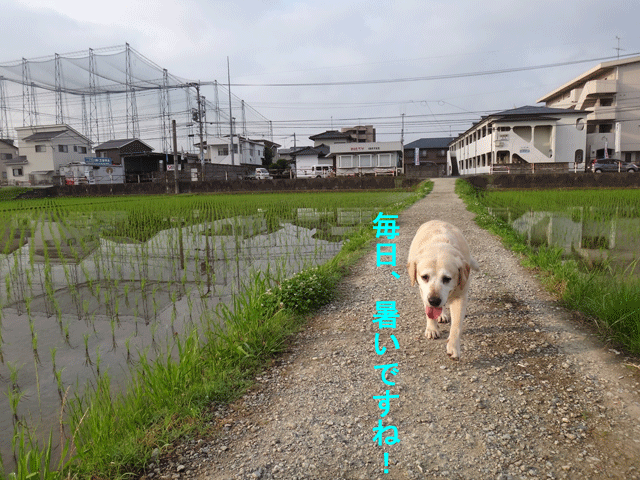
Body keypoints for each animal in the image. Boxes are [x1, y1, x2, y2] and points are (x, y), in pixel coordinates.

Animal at [408, 219, 478, 358]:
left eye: (447, 278)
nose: (434, 301)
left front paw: (453, 346)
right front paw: (432, 328)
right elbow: (429, 312)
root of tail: (436, 220)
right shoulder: (424, 292)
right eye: (424, 277)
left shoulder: (460, 296)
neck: (439, 245)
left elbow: (456, 325)